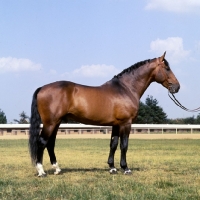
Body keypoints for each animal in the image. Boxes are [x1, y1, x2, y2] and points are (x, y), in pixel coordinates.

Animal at [28, 52, 180, 177]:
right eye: (167, 68)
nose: (177, 87)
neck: (126, 89)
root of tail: (42, 88)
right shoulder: (126, 123)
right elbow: (124, 145)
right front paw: (125, 168)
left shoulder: (116, 125)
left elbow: (113, 144)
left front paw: (112, 168)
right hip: (50, 123)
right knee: (42, 142)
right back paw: (41, 172)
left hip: (56, 123)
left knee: (50, 143)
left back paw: (57, 169)